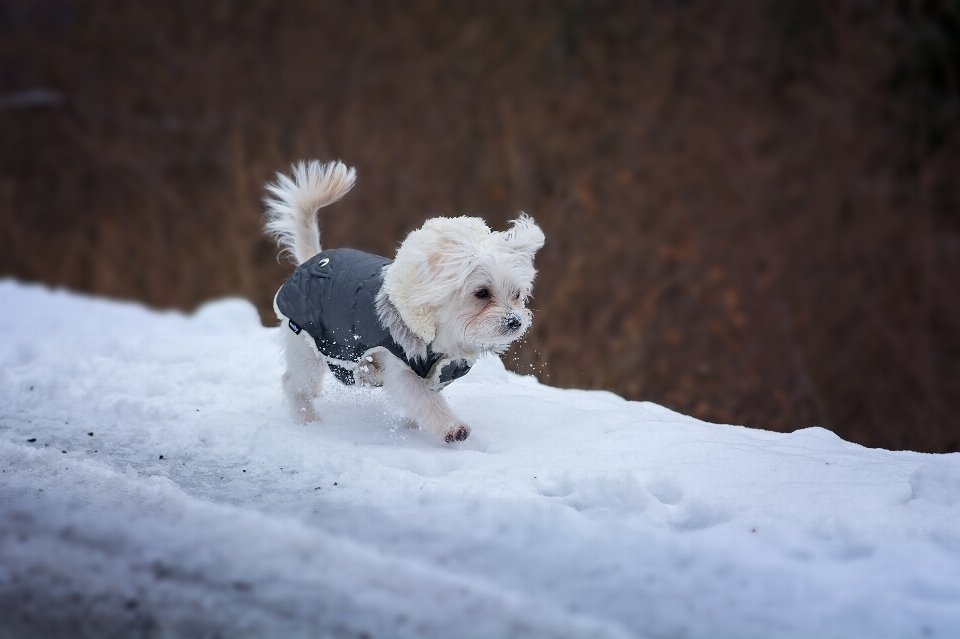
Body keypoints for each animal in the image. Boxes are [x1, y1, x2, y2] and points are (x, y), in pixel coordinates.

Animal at [266, 160, 544, 442]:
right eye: (482, 293)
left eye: (517, 295)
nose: (515, 321)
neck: (441, 334)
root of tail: (311, 260)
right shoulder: (401, 368)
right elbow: (425, 400)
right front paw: (451, 427)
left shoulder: (436, 373)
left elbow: (423, 402)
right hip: (306, 346)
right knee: (293, 383)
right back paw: (307, 418)